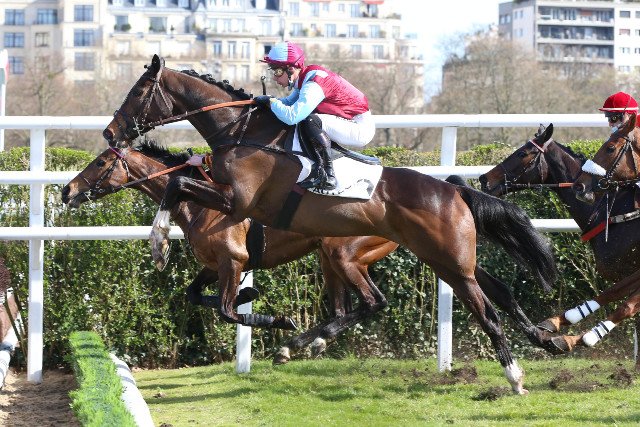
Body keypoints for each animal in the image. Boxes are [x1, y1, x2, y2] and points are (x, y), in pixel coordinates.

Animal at [61, 140, 398, 363]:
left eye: (101, 162)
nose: (67, 190)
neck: (200, 203)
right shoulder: (214, 265)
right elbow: (194, 294)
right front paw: (248, 294)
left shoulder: (232, 261)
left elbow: (226, 310)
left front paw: (272, 317)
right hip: (330, 257)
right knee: (344, 309)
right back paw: (302, 344)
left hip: (343, 254)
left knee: (373, 301)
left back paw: (302, 341)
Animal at [101, 54, 559, 393]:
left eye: (138, 91)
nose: (109, 132)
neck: (245, 134)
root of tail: (451, 190)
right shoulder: (230, 206)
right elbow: (179, 185)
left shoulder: (237, 200)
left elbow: (176, 182)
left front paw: (159, 242)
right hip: (441, 258)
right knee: (488, 294)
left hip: (421, 259)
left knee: (481, 313)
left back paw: (515, 377)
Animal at [480, 123, 640, 357]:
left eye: (522, 153)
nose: (484, 179)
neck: (617, 211)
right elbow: (613, 293)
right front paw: (557, 323)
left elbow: (625, 305)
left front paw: (578, 338)